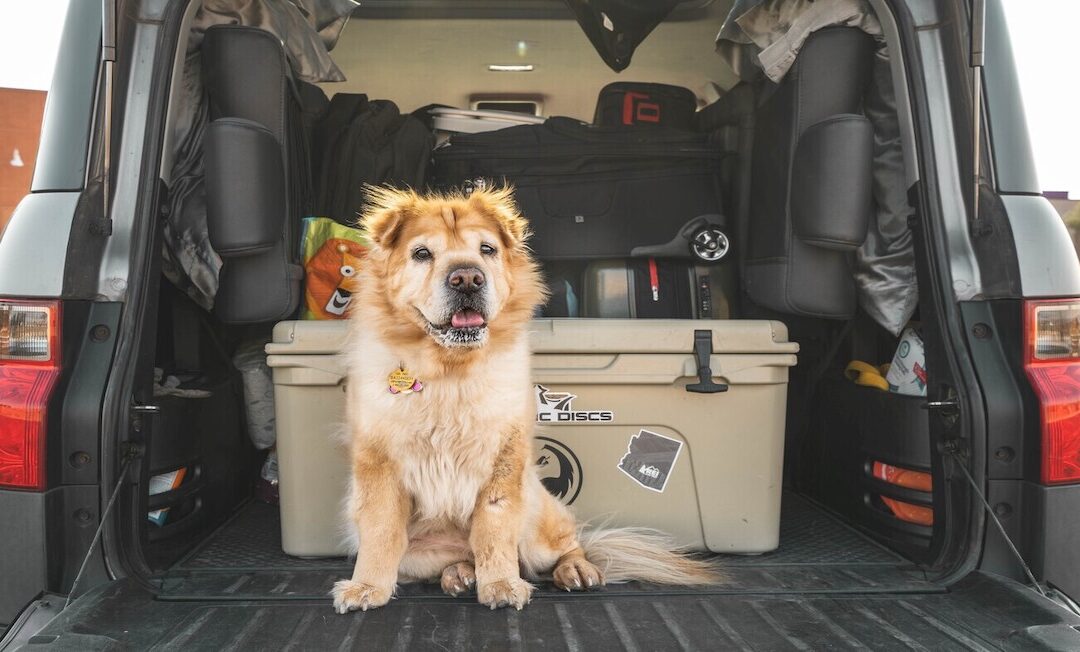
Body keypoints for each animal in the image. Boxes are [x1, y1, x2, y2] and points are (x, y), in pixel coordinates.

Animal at [328, 186, 717, 613]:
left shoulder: (504, 459)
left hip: (537, 514)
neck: (450, 372)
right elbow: (380, 531)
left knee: (568, 545)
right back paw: (459, 574)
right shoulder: (378, 462)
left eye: (487, 249)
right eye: (422, 253)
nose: (467, 278)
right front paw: (366, 587)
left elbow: (494, 529)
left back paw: (575, 571)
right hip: (419, 551)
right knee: (454, 558)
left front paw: (501, 584)